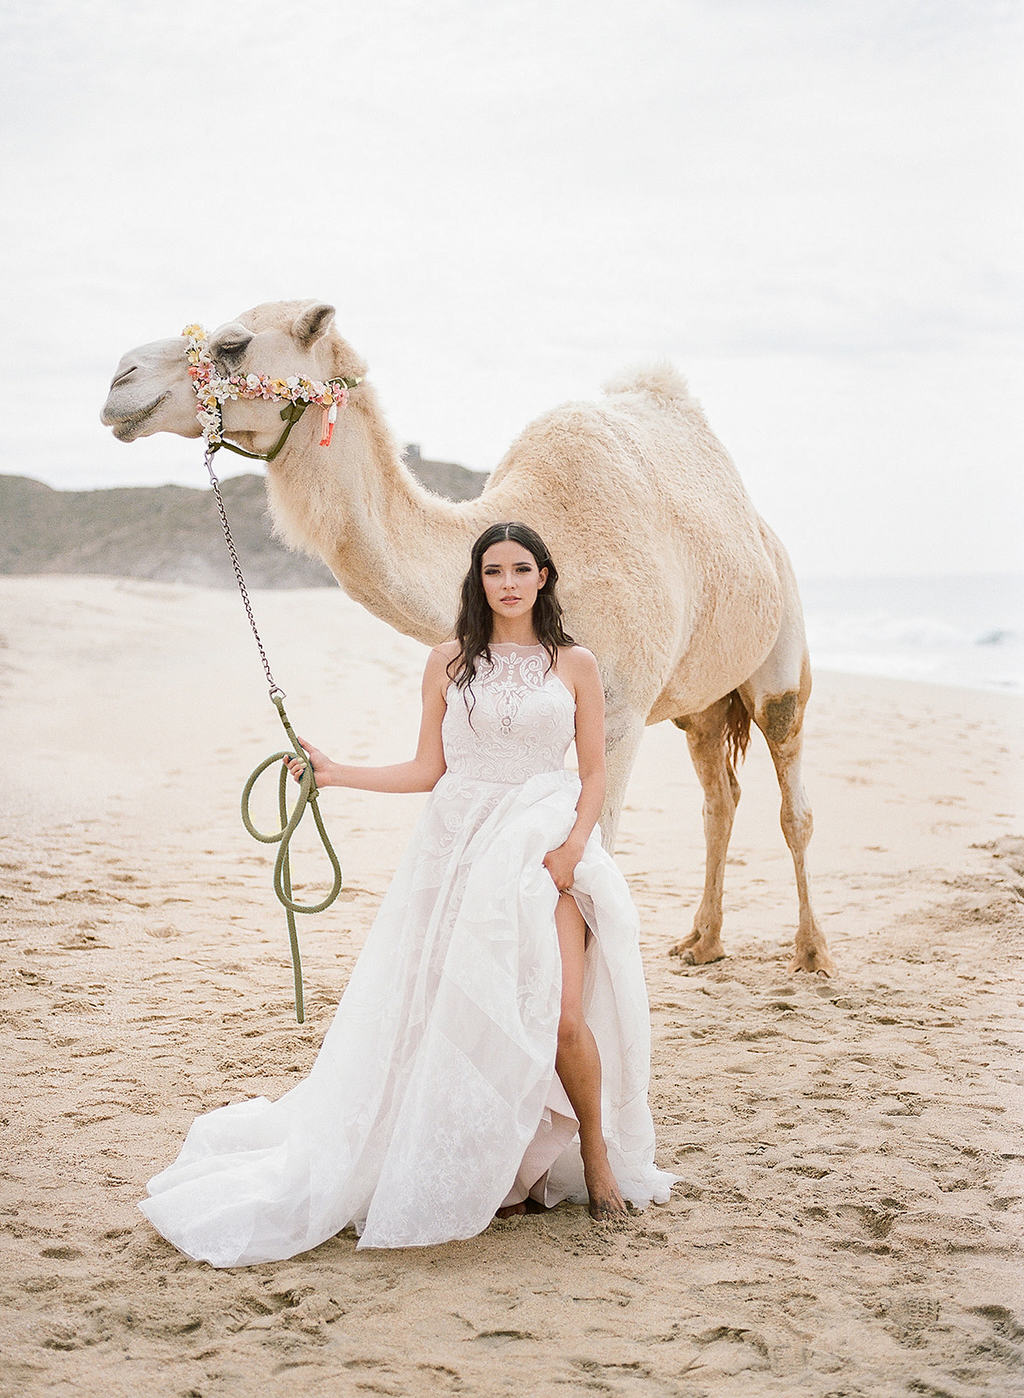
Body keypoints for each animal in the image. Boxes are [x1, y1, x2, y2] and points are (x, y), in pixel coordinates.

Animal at [102, 297, 833, 973]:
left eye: (233, 345)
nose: (118, 381)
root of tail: (765, 533)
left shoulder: (621, 713)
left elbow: (595, 851)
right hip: (700, 703)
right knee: (720, 795)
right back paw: (702, 942)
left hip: (782, 650)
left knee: (791, 794)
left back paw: (811, 953)